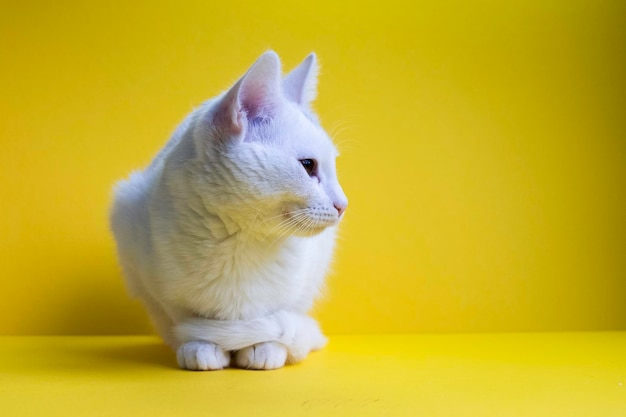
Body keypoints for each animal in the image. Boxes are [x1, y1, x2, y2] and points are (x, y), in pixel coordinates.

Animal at [111, 50, 346, 368]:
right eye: (308, 165)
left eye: (333, 166)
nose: (343, 204)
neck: (240, 240)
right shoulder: (150, 277)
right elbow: (187, 319)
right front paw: (202, 345)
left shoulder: (304, 281)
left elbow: (273, 317)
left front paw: (263, 347)